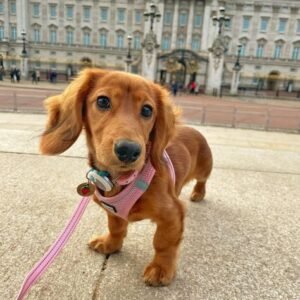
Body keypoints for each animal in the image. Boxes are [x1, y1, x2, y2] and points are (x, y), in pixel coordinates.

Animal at [39, 68, 212, 286]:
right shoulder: (112, 211)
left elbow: (163, 243)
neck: (122, 179)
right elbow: (116, 228)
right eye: (102, 101)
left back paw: (198, 193)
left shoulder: (172, 213)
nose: (129, 150)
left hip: (205, 168)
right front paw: (110, 244)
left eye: (147, 110)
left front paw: (161, 268)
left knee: (203, 180)